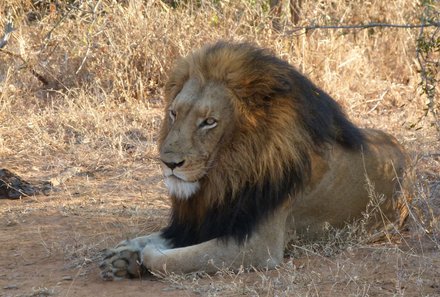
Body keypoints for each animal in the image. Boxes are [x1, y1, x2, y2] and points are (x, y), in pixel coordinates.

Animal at [99, 41, 410, 280]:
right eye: (174, 113)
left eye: (209, 122)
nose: (169, 163)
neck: (227, 175)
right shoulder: (202, 221)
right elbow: (151, 237)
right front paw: (123, 256)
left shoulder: (258, 246)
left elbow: (168, 259)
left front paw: (143, 256)